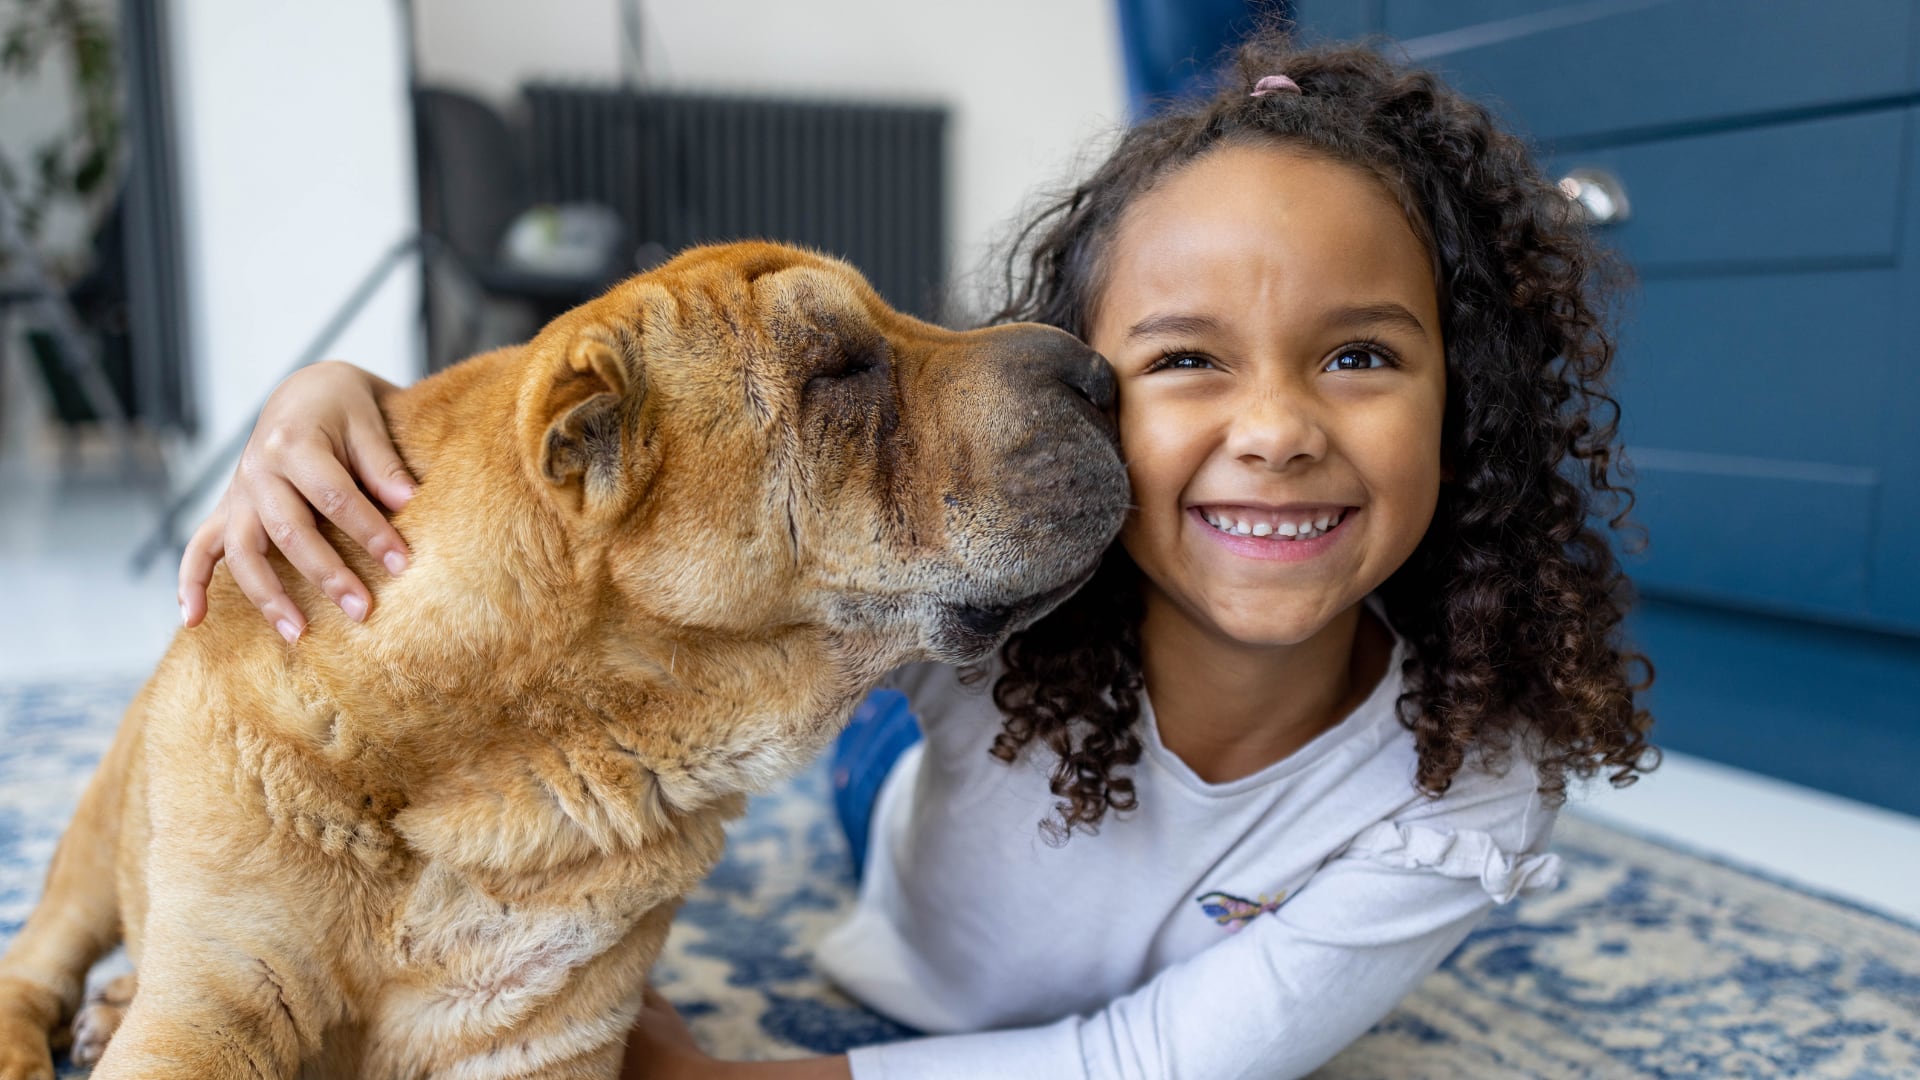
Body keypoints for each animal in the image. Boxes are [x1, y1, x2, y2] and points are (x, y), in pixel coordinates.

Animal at [0, 239, 1121, 1068]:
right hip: (98, 830)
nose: (1101, 373)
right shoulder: (210, 1014)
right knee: (37, 961)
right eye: (839, 369)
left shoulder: (544, 1043)